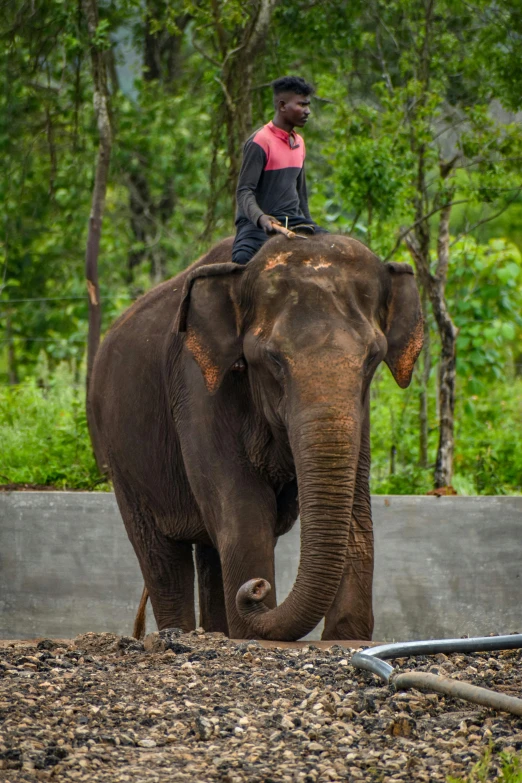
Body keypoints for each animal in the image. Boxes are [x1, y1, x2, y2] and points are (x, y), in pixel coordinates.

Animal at [88, 233, 422, 644]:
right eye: (274, 359)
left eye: (373, 357)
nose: (257, 588)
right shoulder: (198, 386)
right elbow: (243, 509)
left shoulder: (359, 412)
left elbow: (356, 509)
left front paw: (346, 637)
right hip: (120, 458)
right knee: (162, 555)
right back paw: (181, 632)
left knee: (210, 550)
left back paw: (216, 631)